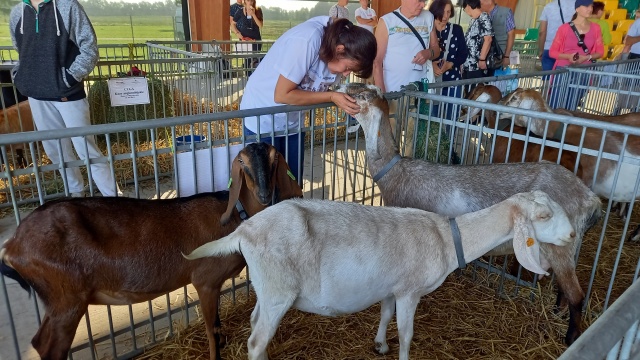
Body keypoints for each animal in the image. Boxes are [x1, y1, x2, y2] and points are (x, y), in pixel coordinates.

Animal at [0, 141, 302, 360]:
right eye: (241, 162)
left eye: (275, 158)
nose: (264, 195)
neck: (236, 217)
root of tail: (13, 244)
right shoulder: (204, 281)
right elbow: (210, 328)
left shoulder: (214, 285)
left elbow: (217, 323)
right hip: (67, 300)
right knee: (49, 348)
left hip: (59, 301)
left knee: (40, 342)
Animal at [185, 193, 576, 358]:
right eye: (543, 216)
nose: (573, 234)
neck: (447, 239)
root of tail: (244, 230)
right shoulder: (410, 291)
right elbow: (406, 334)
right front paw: (399, 352)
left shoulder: (392, 287)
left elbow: (386, 316)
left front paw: (379, 345)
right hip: (279, 290)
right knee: (255, 340)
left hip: (267, 289)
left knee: (255, 326)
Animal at [338, 83, 604, 344]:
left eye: (361, 94)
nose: (341, 87)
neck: (395, 171)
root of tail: (590, 198)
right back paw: (557, 311)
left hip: (559, 245)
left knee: (577, 295)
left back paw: (571, 338)